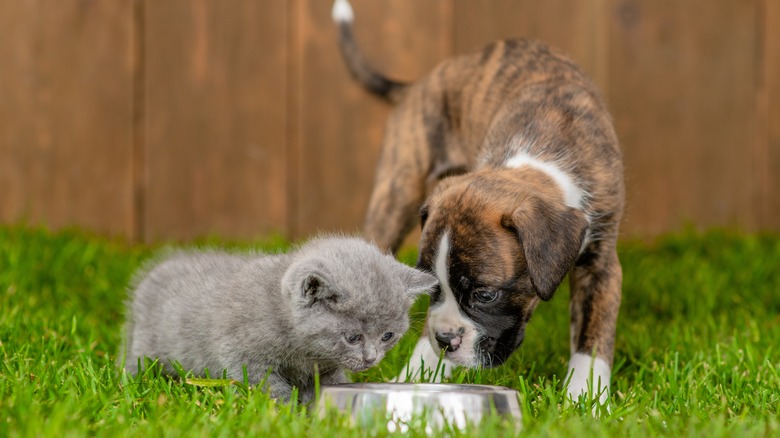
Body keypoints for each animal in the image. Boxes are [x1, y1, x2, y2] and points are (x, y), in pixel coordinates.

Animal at [123, 236, 438, 404]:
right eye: (352, 337)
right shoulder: (246, 358)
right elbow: (270, 387)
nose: (372, 359)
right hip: (144, 347)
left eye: (388, 336)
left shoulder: (327, 368)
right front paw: (287, 412)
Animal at [332, 0, 624, 404]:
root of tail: (417, 85)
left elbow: (591, 338)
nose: (445, 340)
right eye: (433, 286)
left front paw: (583, 399)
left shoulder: (601, 264)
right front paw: (413, 379)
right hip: (397, 192)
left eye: (485, 294)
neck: (541, 153)